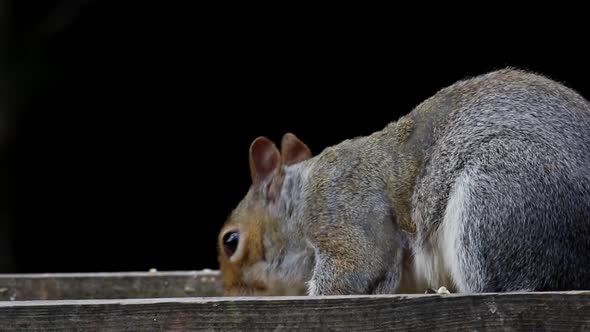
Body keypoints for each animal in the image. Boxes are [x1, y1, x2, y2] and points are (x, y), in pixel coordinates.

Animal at [217, 68, 590, 296]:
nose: (230, 291)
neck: (297, 202)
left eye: (230, 241)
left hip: (498, 191)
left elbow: (357, 266)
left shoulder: (341, 212)